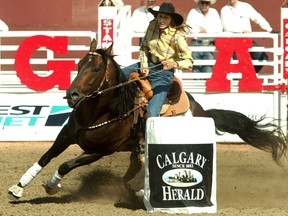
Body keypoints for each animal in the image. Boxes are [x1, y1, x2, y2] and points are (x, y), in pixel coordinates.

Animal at [7, 38, 286, 201]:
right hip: (135, 149)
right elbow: (45, 157)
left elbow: (65, 165)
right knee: (131, 172)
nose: (72, 95)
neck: (102, 111)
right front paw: (18, 187)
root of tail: (202, 111)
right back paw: (136, 191)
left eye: (96, 68)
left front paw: (52, 186)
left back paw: (140, 192)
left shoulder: (99, 151)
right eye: (78, 64)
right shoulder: (65, 135)